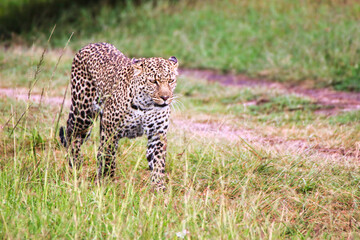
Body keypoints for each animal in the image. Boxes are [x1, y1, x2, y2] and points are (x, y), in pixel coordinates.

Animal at [58, 42, 180, 190]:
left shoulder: (157, 134)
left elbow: (158, 163)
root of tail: (90, 44)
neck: (146, 106)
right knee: (72, 132)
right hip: (83, 112)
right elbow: (109, 156)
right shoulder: (111, 132)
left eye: (171, 80)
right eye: (153, 81)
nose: (165, 97)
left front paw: (158, 187)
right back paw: (75, 162)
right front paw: (107, 182)